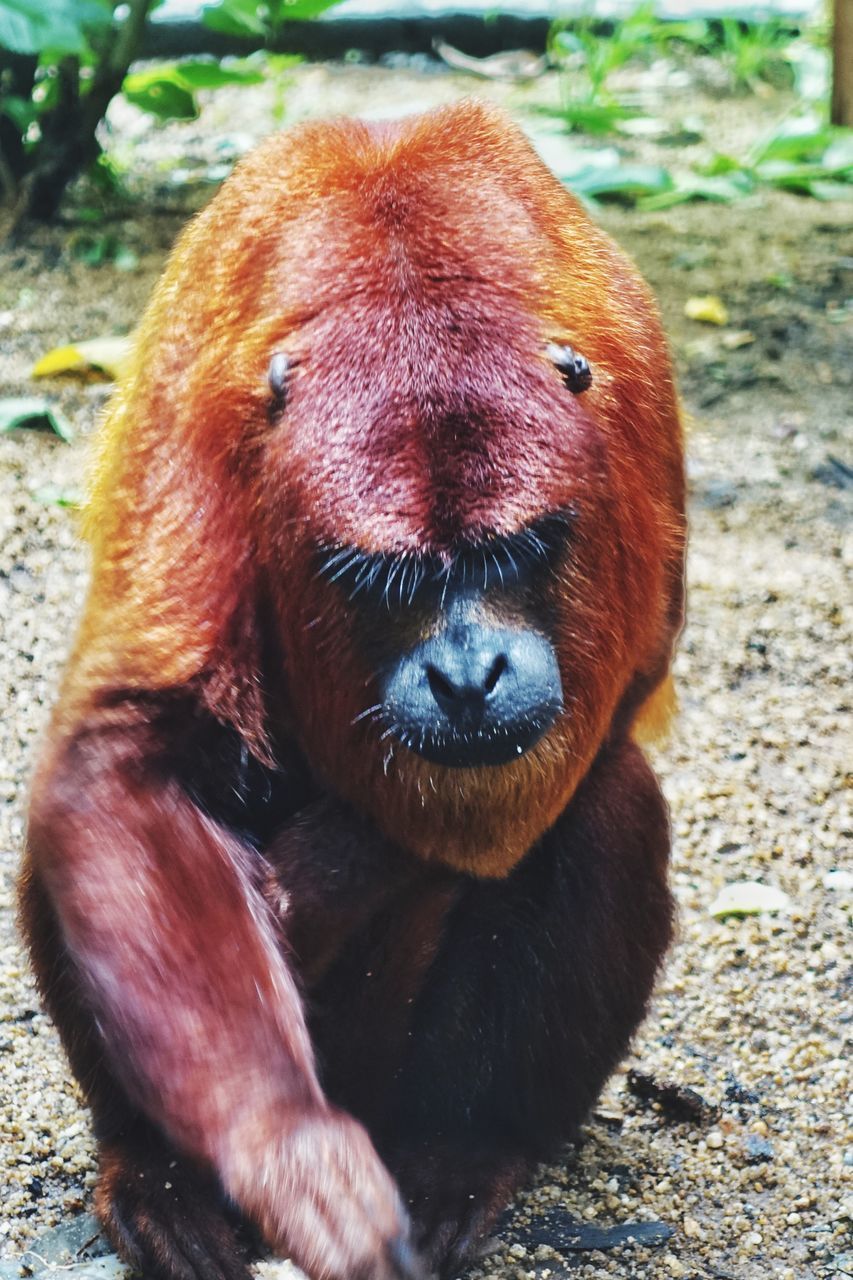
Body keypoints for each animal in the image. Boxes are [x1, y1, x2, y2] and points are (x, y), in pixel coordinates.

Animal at [19, 99, 686, 1280]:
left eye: (522, 550)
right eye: (388, 580)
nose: (469, 677)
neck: (399, 258)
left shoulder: (626, 393)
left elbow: (623, 677)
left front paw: (331, 871)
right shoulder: (209, 417)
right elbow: (120, 757)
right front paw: (283, 1147)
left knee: (611, 799)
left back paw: (462, 1151)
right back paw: (157, 1176)